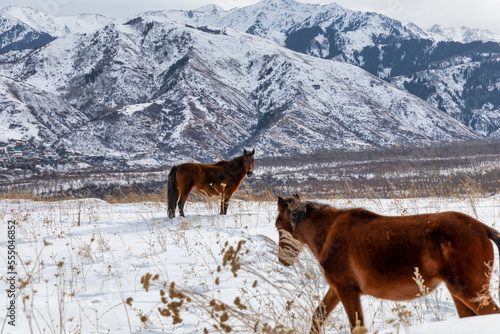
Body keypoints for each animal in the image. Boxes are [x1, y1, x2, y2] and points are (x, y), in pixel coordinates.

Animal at [276, 194, 500, 332]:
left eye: (278, 226)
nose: (282, 260)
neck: (329, 234)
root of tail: (481, 228)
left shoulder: (347, 290)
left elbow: (356, 326)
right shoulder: (336, 289)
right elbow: (318, 317)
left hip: (471, 292)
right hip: (459, 294)